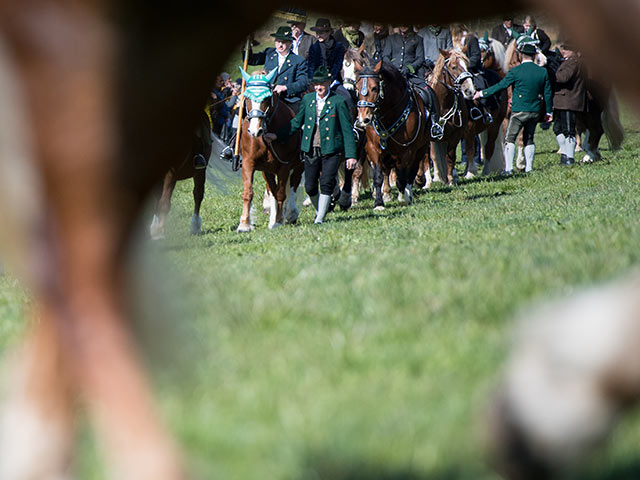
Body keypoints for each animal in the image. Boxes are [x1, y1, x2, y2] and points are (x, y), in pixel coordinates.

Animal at [236, 68, 304, 232]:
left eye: (266, 98)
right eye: (247, 97)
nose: (255, 131)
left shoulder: (284, 166)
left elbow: (281, 193)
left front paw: (279, 220)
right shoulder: (249, 162)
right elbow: (248, 192)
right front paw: (244, 224)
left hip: (298, 165)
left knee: (293, 185)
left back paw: (290, 213)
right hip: (267, 170)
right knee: (273, 190)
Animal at [356, 60, 430, 210]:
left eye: (374, 88)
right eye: (357, 88)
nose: (363, 119)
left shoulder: (407, 151)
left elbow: (402, 178)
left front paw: (403, 198)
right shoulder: (373, 149)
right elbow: (378, 177)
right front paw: (379, 203)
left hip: (420, 148)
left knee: (411, 172)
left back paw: (409, 193)